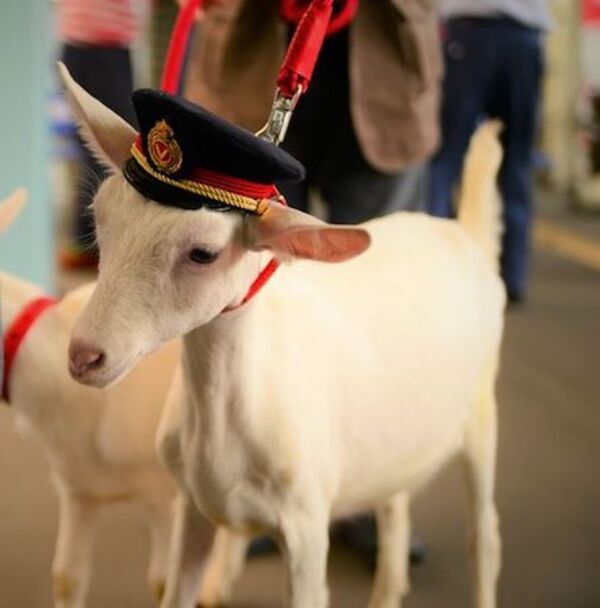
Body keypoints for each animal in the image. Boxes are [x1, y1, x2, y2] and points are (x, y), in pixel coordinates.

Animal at [63, 63, 506, 608]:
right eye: (100, 218)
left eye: (203, 253)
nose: (84, 355)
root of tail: (465, 235)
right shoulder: (194, 508)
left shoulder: (306, 527)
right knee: (395, 511)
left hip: (482, 415)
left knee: (483, 534)